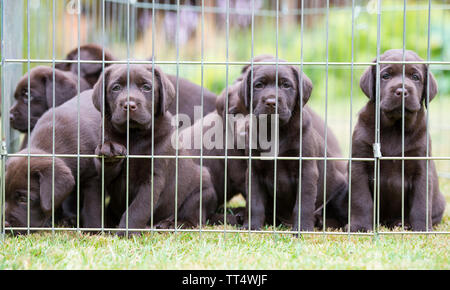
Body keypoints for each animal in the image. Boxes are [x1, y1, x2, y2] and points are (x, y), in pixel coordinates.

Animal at [92, 64, 218, 236]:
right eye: (116, 87)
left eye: (146, 87)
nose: (129, 105)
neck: (134, 135)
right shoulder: (107, 174)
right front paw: (110, 149)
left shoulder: (154, 177)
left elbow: (138, 208)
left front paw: (127, 232)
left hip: (202, 188)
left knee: (193, 216)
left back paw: (171, 224)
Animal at [350, 49, 444, 231]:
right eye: (385, 75)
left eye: (415, 77)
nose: (401, 91)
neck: (395, 128)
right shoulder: (359, 164)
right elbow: (361, 200)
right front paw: (360, 227)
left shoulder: (422, 166)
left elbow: (421, 203)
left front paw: (422, 229)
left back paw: (403, 223)